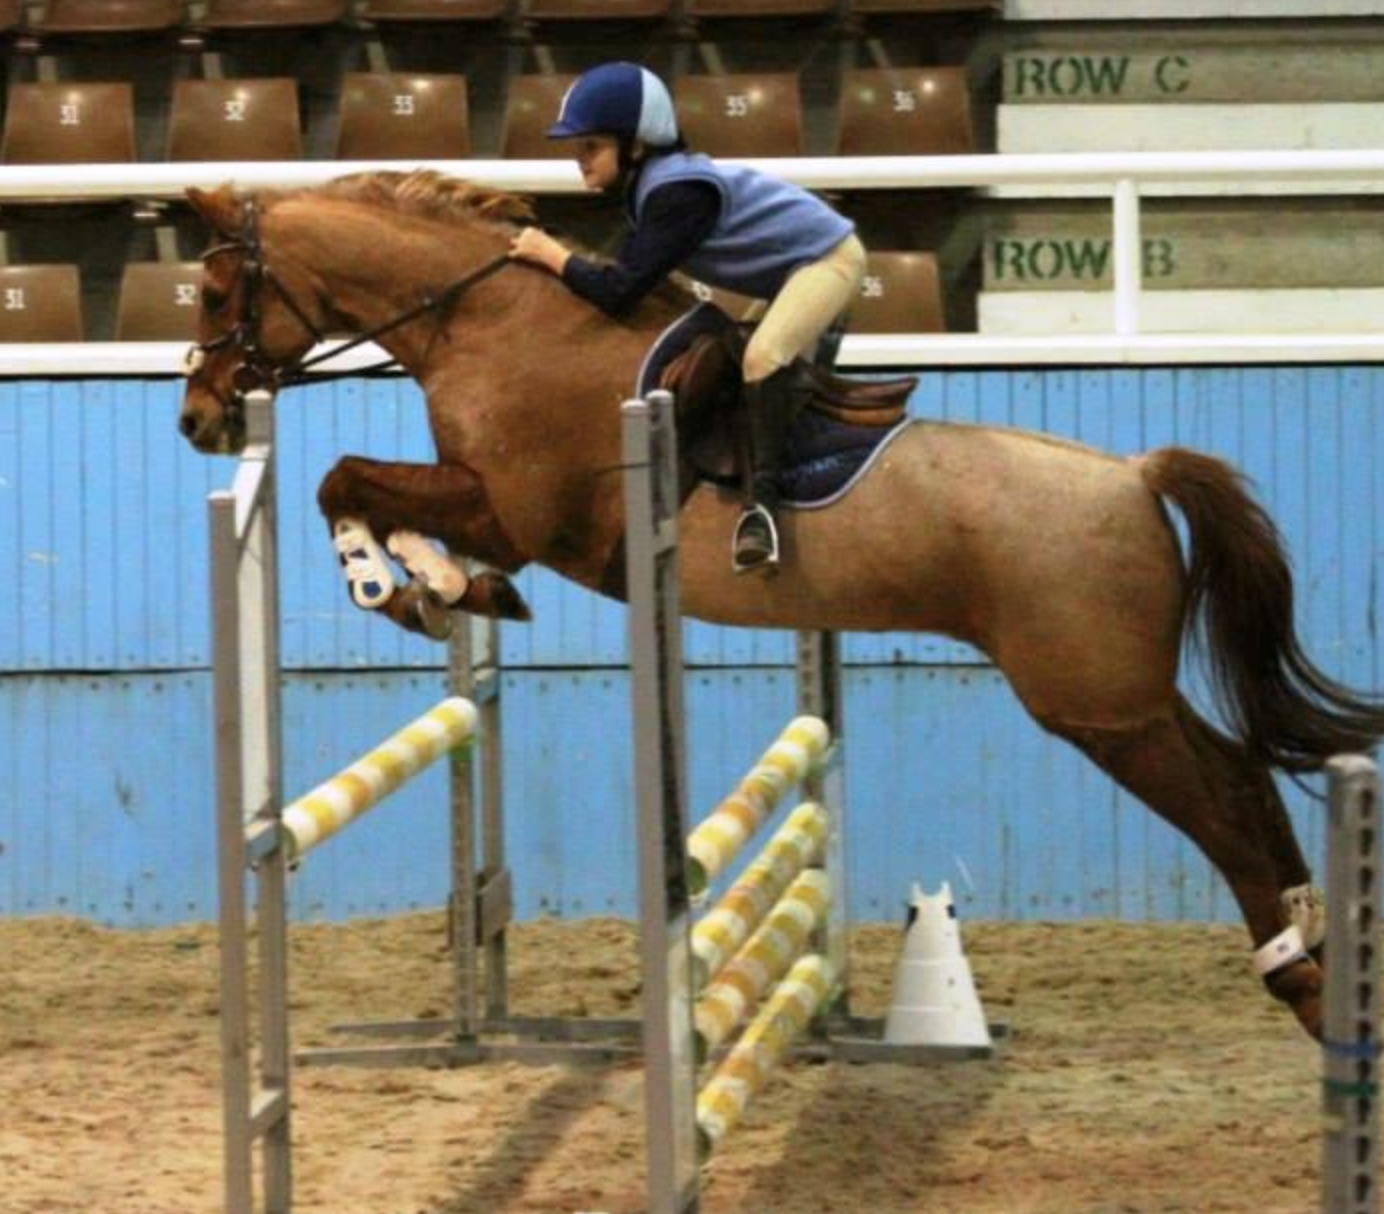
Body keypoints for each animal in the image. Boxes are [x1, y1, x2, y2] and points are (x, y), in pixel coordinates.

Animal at [178, 168, 1384, 1040]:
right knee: (1240, 771)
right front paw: (437, 585)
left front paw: (398, 582)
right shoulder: (487, 502)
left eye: (214, 292)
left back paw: (1297, 975)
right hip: (1122, 690)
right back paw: (1313, 945)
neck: (492, 322)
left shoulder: (516, 509)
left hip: (1096, 701)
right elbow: (369, 490)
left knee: (1219, 797)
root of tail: (1135, 475)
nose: (198, 418)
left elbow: (346, 479)